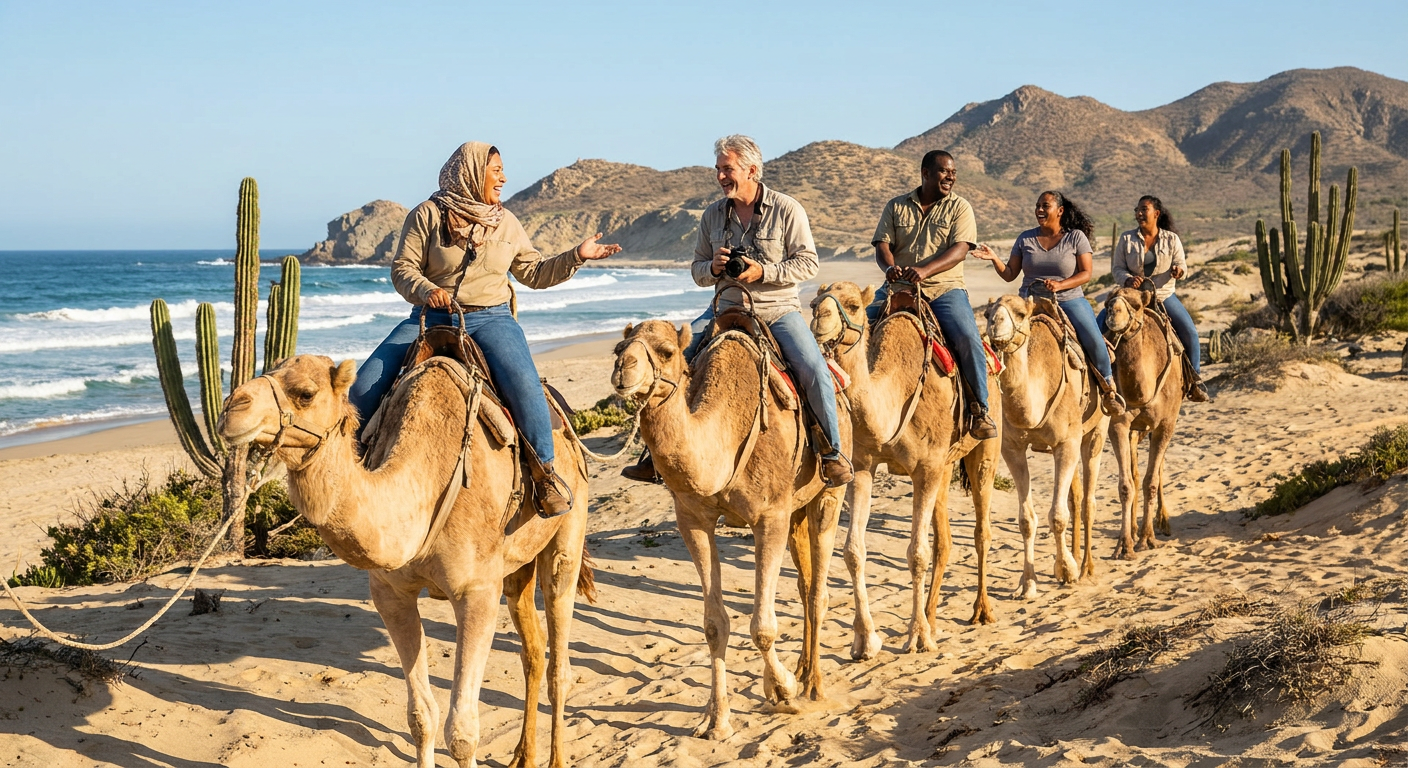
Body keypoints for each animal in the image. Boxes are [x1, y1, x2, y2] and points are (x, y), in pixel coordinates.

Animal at [218, 354, 590, 768]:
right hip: (517, 566)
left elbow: (462, 732)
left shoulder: (477, 591)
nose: (231, 409)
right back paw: (522, 756)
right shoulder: (391, 593)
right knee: (533, 650)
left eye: (305, 393)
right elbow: (421, 717)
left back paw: (556, 759)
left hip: (568, 530)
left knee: (559, 649)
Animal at [610, 319, 846, 740]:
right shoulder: (693, 519)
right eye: (618, 348)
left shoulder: (770, 516)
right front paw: (717, 721)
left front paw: (783, 690)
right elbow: (714, 625)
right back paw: (803, 670)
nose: (624, 368)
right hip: (797, 510)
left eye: (667, 351)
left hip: (829, 493)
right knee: (805, 587)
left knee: (819, 591)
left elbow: (762, 627)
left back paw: (813, 685)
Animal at [808, 282, 1001, 661]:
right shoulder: (865, 467)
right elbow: (853, 551)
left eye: (853, 305)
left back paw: (981, 611)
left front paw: (918, 638)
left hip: (984, 445)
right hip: (945, 467)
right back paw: (931, 616)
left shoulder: (926, 467)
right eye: (813, 302)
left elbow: (916, 553)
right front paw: (865, 642)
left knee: (981, 528)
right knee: (945, 540)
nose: (819, 319)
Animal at [984, 294, 1110, 594]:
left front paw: (1067, 571)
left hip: (1096, 430)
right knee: (1076, 498)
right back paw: (1076, 556)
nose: (994, 325)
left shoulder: (1066, 442)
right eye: (987, 313)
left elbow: (1057, 516)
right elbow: (1026, 520)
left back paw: (1086, 566)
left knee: (1088, 501)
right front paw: (1028, 583)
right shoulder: (1012, 449)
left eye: (1020, 313)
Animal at [1102, 287, 1185, 557]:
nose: (1113, 314)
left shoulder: (1165, 424)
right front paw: (1125, 544)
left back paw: (1163, 522)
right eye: (1107, 302)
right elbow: (1127, 484)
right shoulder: (1118, 425)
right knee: (1136, 473)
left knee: (1157, 471)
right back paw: (1135, 528)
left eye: (1137, 305)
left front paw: (1148, 538)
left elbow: (1151, 481)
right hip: (1135, 430)